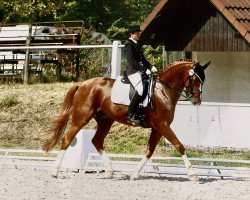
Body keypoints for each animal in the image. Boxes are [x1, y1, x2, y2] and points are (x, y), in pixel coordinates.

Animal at [43, 58, 211, 180]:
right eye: (195, 80)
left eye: (203, 81)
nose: (197, 101)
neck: (163, 90)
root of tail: (82, 84)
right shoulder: (162, 125)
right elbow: (179, 145)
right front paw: (193, 174)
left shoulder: (158, 128)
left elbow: (149, 151)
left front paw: (135, 174)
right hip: (82, 117)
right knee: (67, 139)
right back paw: (54, 172)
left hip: (105, 120)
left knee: (97, 141)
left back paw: (110, 171)